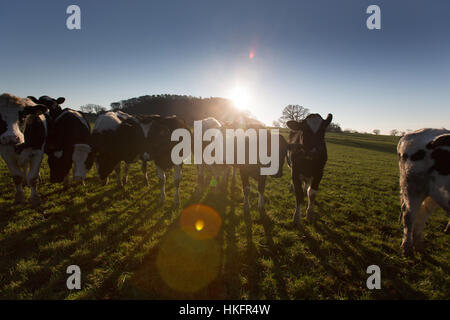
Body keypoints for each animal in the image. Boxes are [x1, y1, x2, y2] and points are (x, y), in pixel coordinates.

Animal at [398, 127, 450, 255]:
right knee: (409, 215)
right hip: (413, 187)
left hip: (433, 192)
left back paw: (418, 244)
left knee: (423, 214)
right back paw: (407, 247)